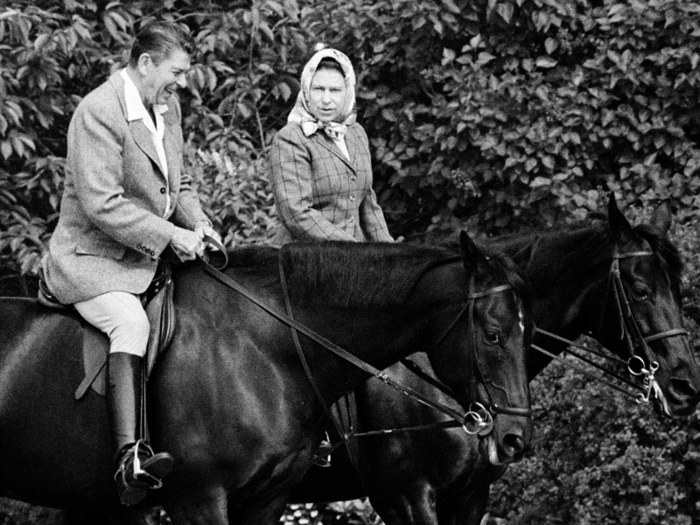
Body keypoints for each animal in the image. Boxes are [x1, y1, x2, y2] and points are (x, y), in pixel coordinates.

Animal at [0, 235, 532, 520]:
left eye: (525, 330)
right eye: (492, 334)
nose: (515, 438)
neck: (266, 347)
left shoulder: (267, 500)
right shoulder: (199, 499)